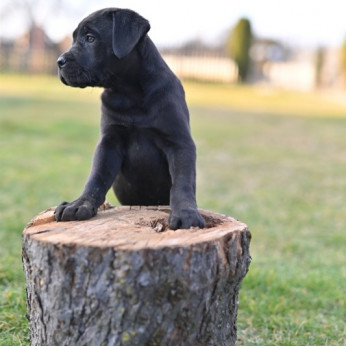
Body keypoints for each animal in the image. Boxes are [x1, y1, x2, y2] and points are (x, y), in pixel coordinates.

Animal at [55, 8, 204, 230]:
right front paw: (79, 204)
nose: (59, 61)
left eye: (90, 38)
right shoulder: (109, 142)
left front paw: (186, 213)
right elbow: (96, 177)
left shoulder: (179, 142)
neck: (128, 93)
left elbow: (182, 182)